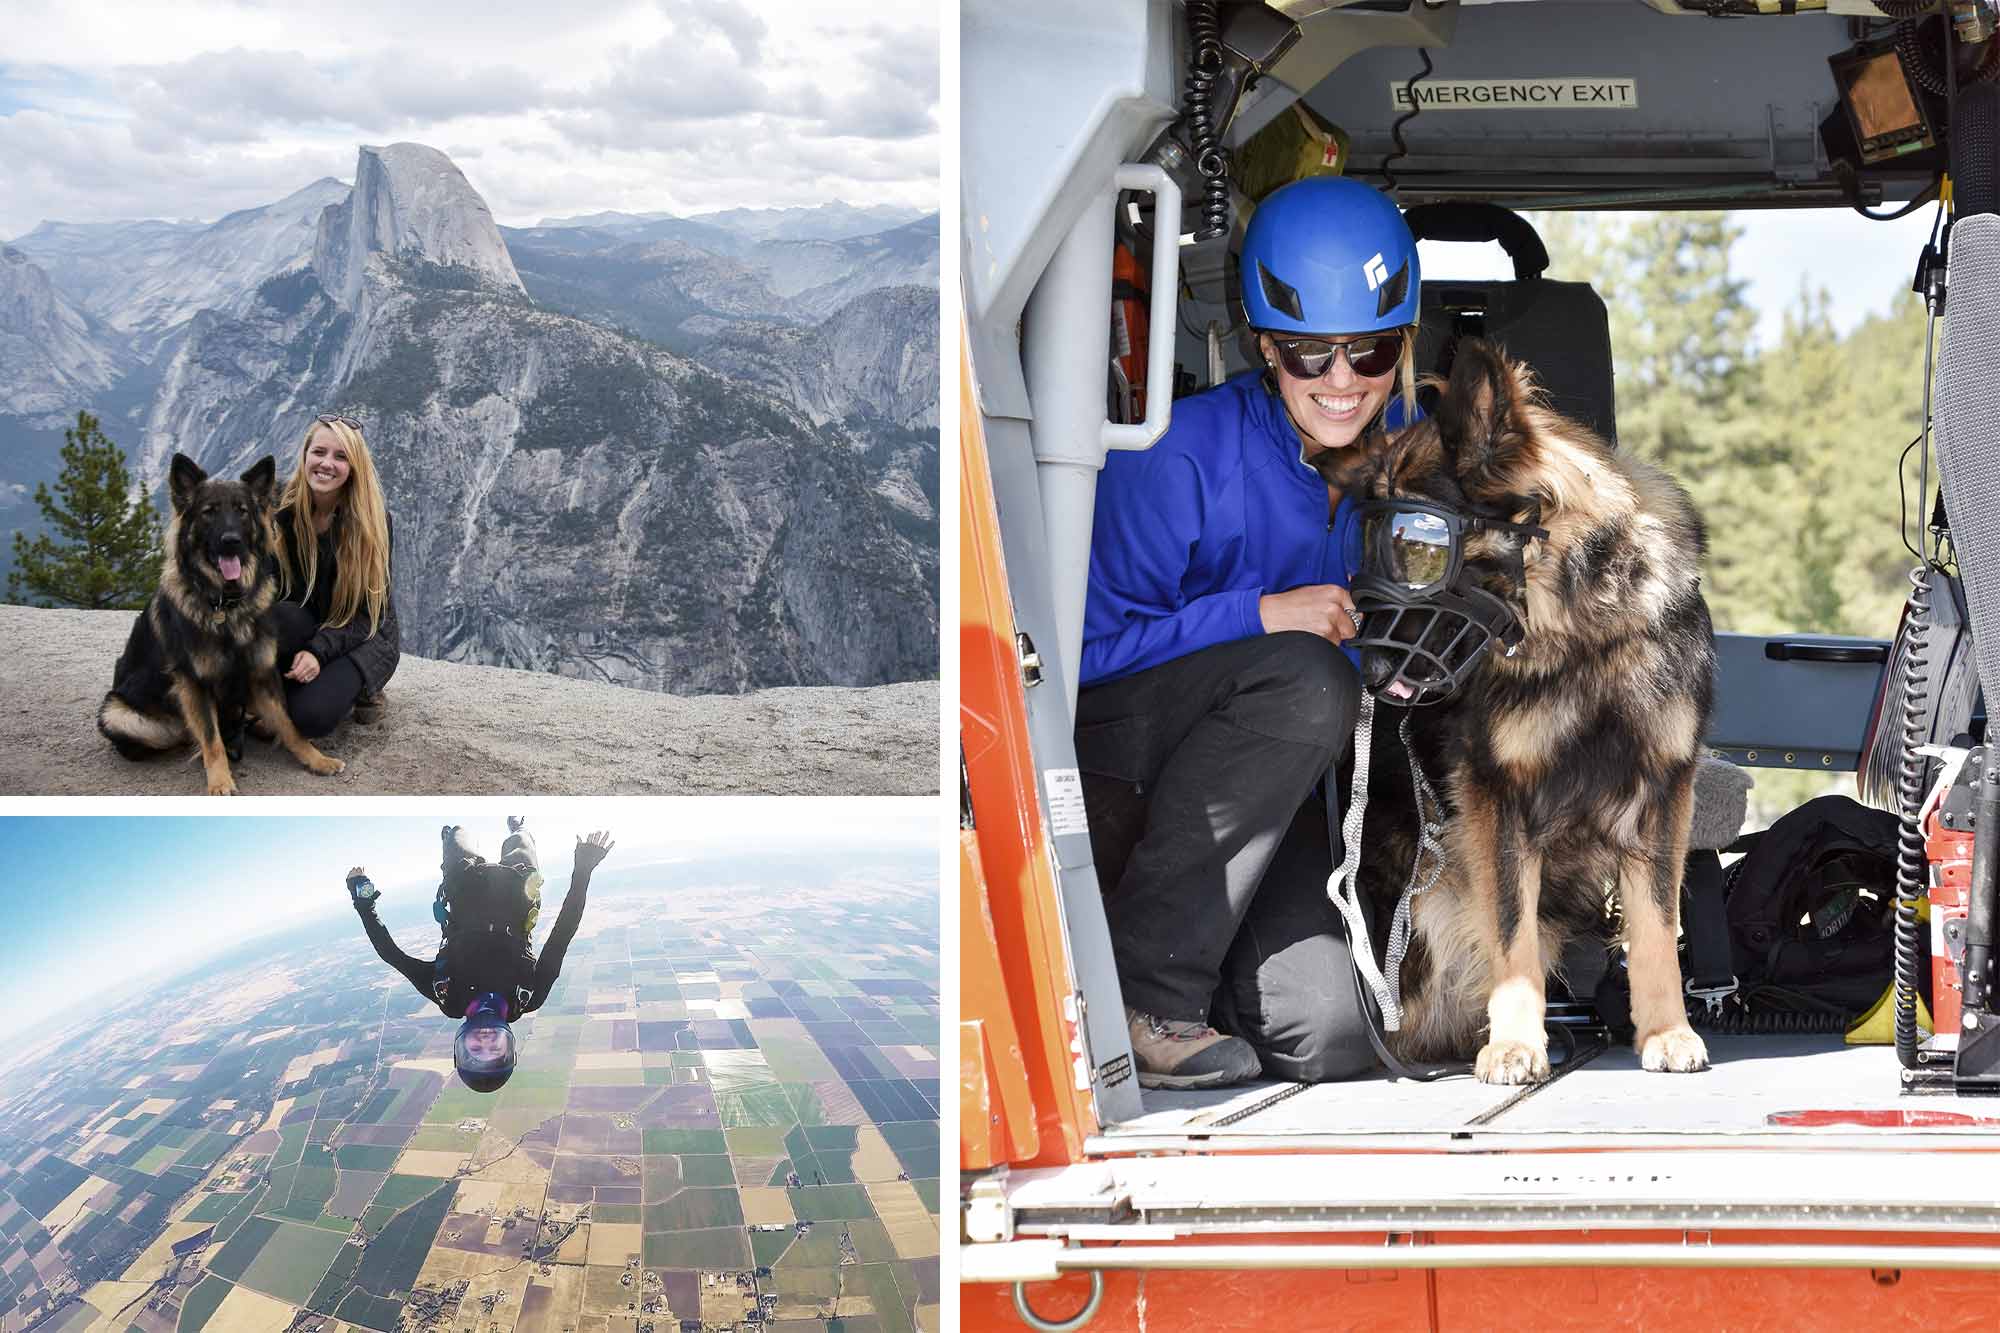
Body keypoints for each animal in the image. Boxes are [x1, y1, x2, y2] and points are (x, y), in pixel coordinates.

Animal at [95, 452, 344, 792]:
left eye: (241, 511)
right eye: (209, 512)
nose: (231, 541)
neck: (225, 605)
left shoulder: (261, 673)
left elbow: (290, 725)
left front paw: (316, 759)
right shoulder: (194, 684)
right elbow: (211, 739)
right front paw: (220, 781)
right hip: (118, 715)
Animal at [1312, 340, 1720, 1080]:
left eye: (1418, 543)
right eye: (1367, 541)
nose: (1373, 675)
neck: (1585, 634)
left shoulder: (1662, 790)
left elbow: (1655, 924)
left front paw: (1666, 1030)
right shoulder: (1498, 798)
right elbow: (1511, 929)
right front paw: (1514, 1042)